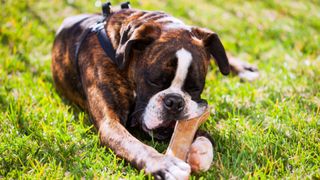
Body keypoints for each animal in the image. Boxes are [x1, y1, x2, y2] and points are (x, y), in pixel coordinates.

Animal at [51, 3, 258, 179]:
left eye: (195, 88)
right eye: (154, 81)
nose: (175, 102)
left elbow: (199, 130)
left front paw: (201, 150)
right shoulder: (110, 124)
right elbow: (136, 146)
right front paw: (165, 164)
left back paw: (243, 69)